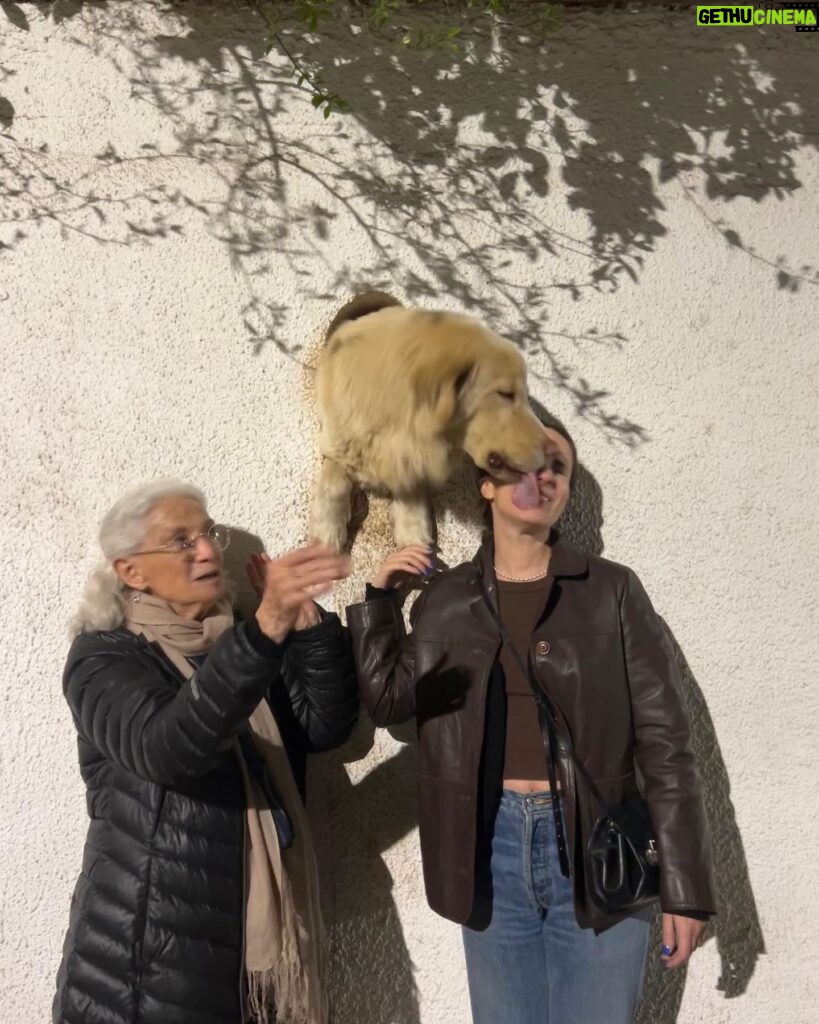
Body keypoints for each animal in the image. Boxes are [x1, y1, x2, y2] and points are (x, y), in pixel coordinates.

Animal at [311, 292, 548, 548]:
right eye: (505, 394)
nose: (551, 448)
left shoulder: (412, 463)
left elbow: (411, 500)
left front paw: (414, 536)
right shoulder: (337, 442)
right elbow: (334, 482)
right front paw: (327, 531)